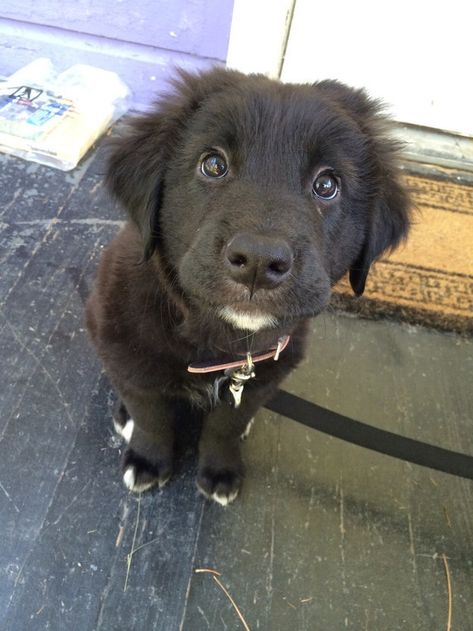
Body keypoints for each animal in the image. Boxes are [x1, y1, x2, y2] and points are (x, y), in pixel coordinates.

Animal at [86, 68, 412, 504]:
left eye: (327, 185)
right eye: (213, 165)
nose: (259, 260)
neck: (222, 345)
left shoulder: (264, 378)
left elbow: (225, 425)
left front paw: (221, 469)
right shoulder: (127, 354)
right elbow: (150, 415)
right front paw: (147, 460)